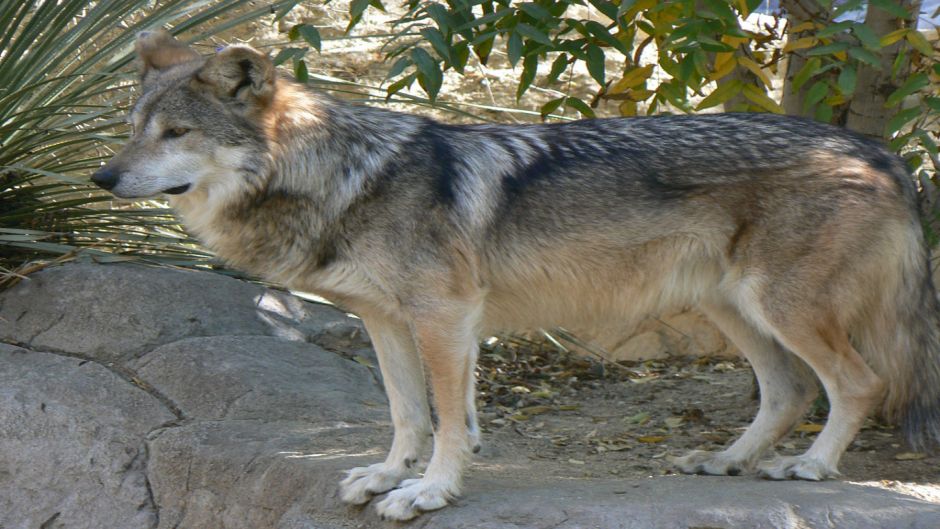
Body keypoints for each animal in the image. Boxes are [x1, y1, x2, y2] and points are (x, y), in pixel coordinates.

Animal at [92, 30, 940, 521]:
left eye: (176, 133)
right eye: (131, 130)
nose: (101, 177)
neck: (344, 176)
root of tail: (875, 148)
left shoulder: (445, 317)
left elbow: (447, 422)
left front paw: (429, 491)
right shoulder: (387, 320)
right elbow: (406, 413)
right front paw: (387, 476)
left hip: (782, 308)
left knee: (858, 383)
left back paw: (813, 466)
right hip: (735, 312)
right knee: (789, 390)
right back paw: (727, 460)